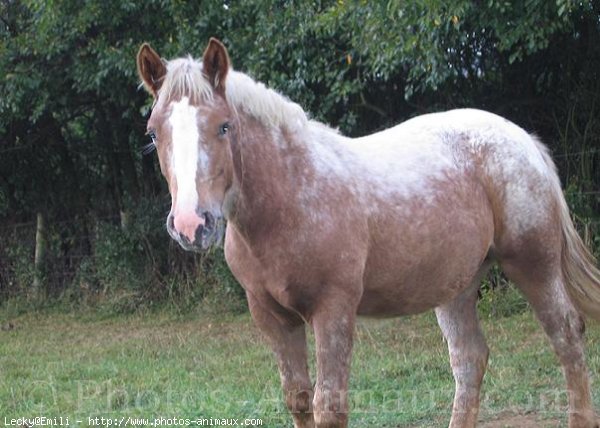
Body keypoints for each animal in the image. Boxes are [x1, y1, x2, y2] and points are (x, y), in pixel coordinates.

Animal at [136, 37, 600, 428]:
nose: (191, 224)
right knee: (470, 360)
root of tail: (523, 139)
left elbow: (329, 404)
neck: (290, 196)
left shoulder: (333, 310)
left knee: (566, 335)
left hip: (532, 264)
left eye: (224, 126)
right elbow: (298, 399)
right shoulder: (272, 317)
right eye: (154, 132)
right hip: (457, 285)